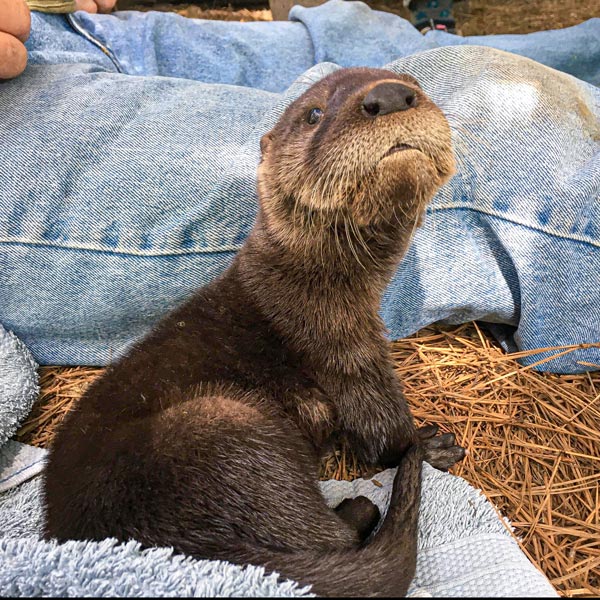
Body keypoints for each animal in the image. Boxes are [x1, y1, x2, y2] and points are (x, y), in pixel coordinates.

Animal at [44, 68, 464, 596]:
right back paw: (359, 507)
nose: (389, 95)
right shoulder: (342, 346)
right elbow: (383, 431)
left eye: (413, 83)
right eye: (314, 113)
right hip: (220, 425)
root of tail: (159, 547)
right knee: (333, 535)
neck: (303, 281)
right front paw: (428, 444)